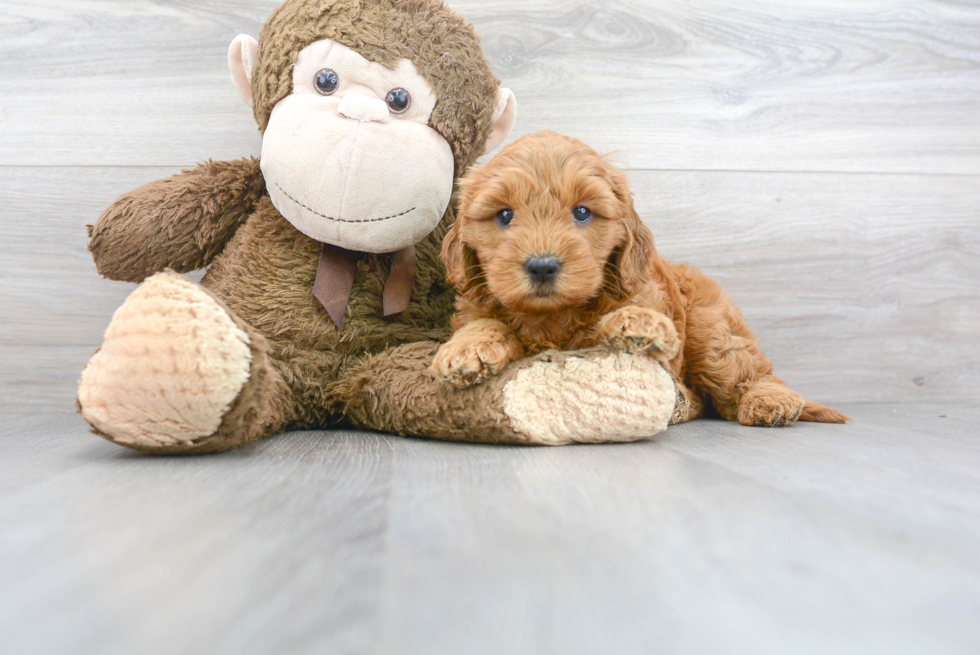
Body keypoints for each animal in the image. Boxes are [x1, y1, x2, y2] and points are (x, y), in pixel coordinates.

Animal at [430, 131, 848, 428]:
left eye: (582, 212)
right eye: (504, 216)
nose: (542, 266)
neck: (553, 316)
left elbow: (631, 315)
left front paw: (639, 324)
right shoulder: (475, 303)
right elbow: (485, 323)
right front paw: (466, 350)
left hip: (711, 332)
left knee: (745, 375)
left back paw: (769, 400)